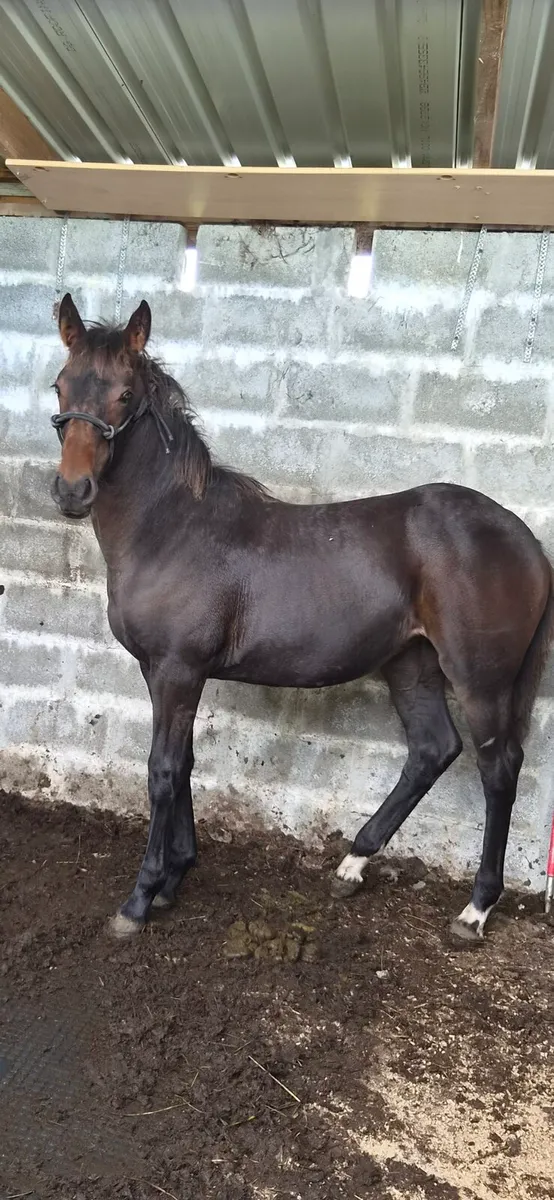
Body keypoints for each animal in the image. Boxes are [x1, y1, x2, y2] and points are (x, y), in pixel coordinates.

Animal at [49, 292, 554, 944]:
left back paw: (476, 908)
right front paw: (176, 878)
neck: (172, 528)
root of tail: (525, 538)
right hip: (411, 664)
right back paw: (353, 864)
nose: (72, 491)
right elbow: (184, 764)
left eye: (125, 394)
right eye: (61, 385)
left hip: (480, 679)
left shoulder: (178, 671)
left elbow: (162, 771)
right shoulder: (164, 673)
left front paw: (140, 898)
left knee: (498, 767)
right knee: (432, 749)